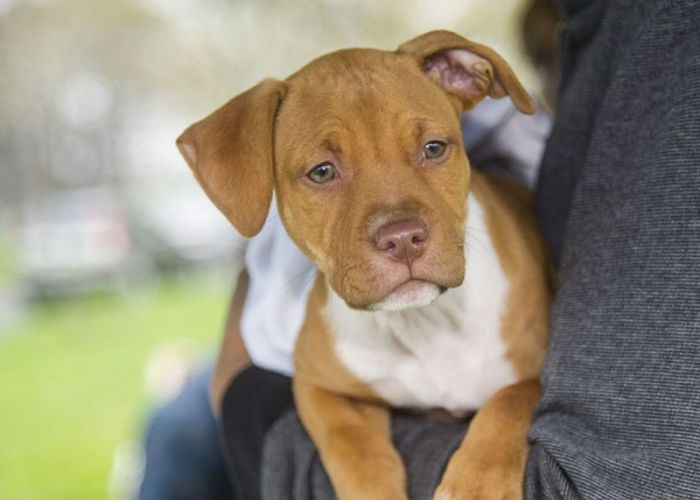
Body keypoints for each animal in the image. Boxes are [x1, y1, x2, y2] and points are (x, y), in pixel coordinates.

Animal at [178, 31, 548, 500]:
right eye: (322, 172)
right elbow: (353, 445)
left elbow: (510, 403)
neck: (422, 324)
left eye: (433, 148)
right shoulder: (319, 386)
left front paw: (477, 485)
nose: (403, 238)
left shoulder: (538, 375)